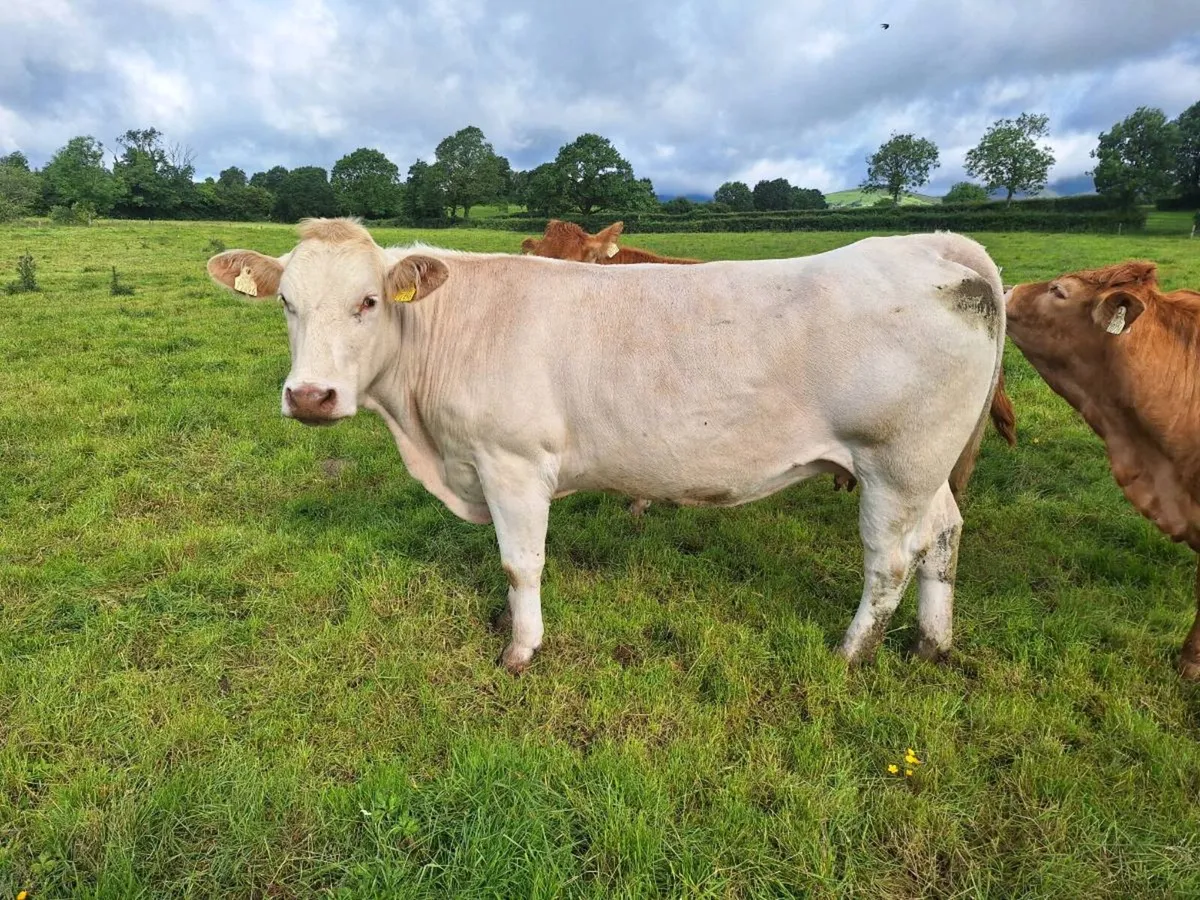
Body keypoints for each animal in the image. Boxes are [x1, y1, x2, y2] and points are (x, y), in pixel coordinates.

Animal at [208, 218, 1007, 674]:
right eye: (286, 303)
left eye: (368, 302)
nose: (310, 396)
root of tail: (930, 247)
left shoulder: (513, 464)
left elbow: (519, 564)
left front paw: (519, 650)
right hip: (926, 469)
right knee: (945, 534)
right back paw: (933, 644)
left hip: (893, 465)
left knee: (890, 561)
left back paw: (849, 654)